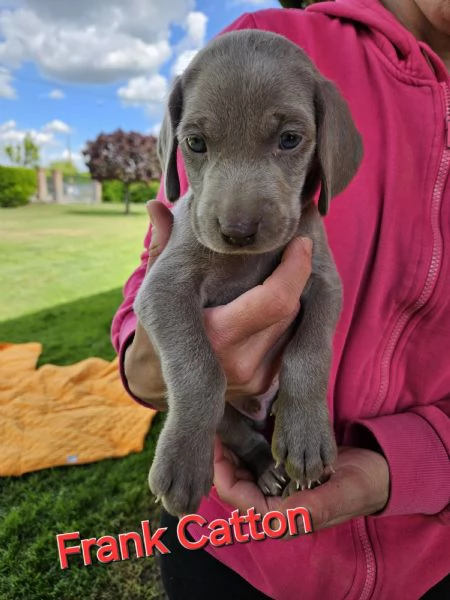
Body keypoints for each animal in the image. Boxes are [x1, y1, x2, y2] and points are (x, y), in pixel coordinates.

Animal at [134, 29, 362, 516]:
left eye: (290, 139)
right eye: (195, 143)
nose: (237, 231)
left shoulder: (324, 282)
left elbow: (309, 354)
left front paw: (306, 436)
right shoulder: (163, 288)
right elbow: (200, 371)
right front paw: (182, 461)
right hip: (229, 418)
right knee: (239, 433)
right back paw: (265, 469)